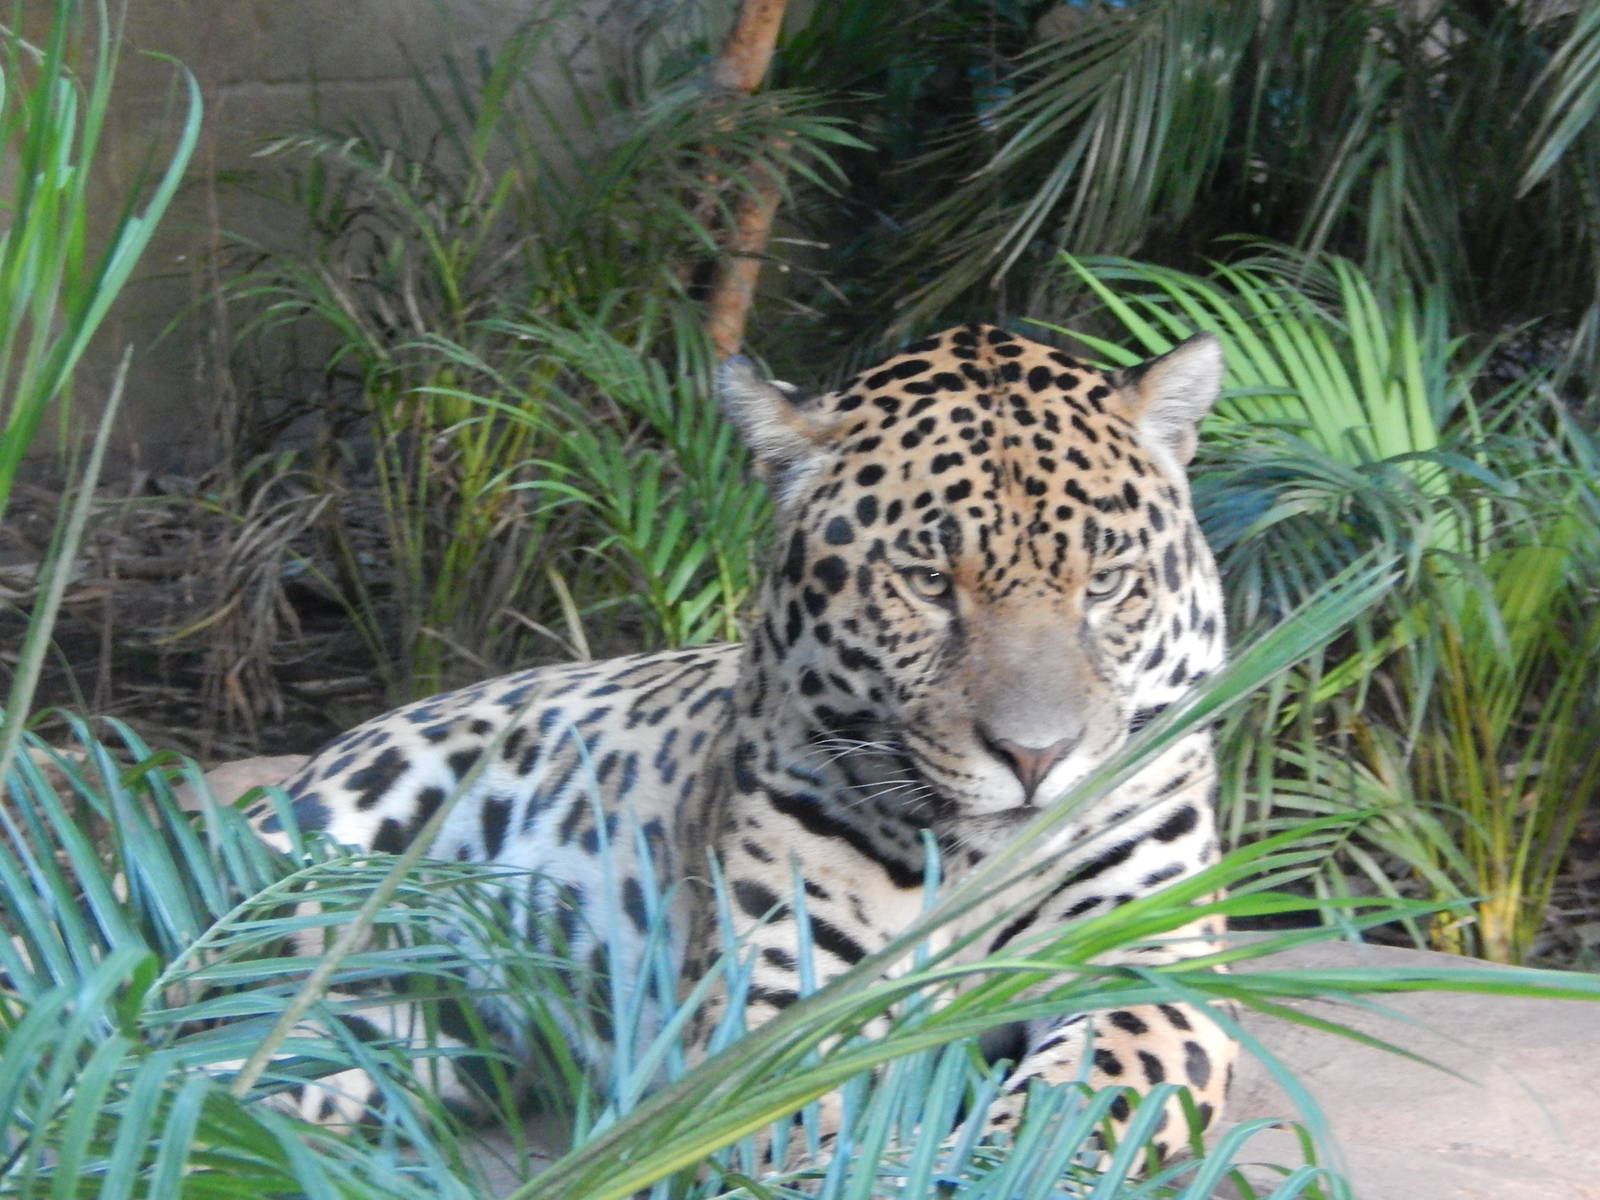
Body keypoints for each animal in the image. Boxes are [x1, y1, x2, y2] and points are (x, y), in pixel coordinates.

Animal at [260, 322, 1234, 1163]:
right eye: (927, 583)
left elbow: (1086, 1096)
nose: (1036, 757)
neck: (972, 867)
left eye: (1106, 582)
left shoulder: (1151, 968)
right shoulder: (776, 1000)